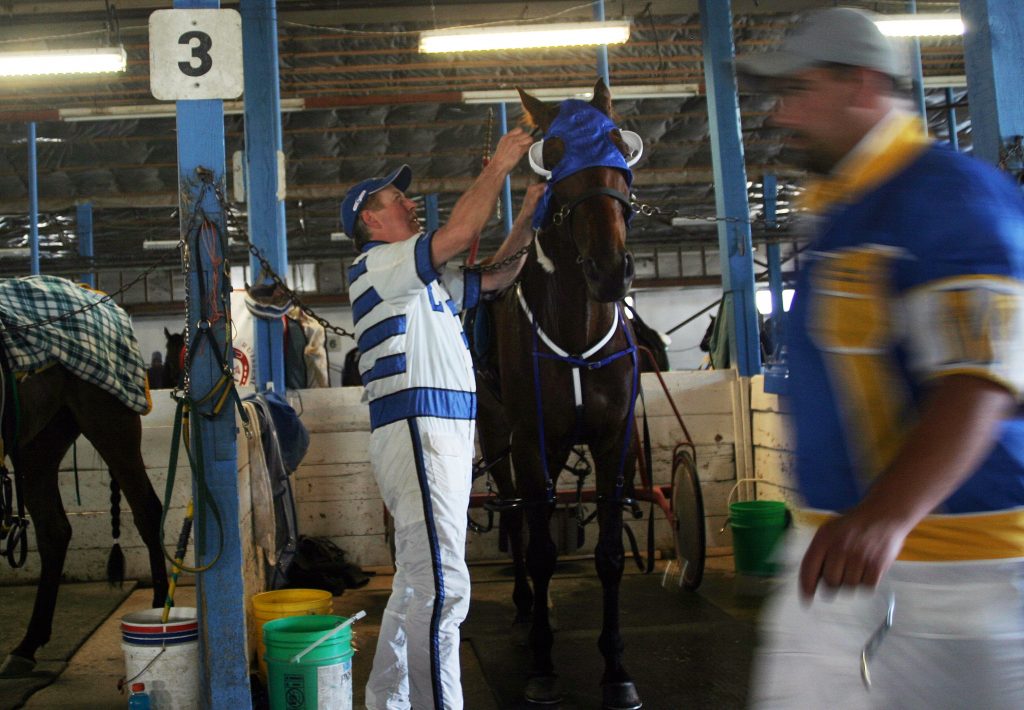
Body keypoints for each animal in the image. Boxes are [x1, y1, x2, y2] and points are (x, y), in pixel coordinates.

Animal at [481, 80, 647, 704]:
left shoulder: (614, 444)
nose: (609, 269)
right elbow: (542, 548)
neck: (577, 328)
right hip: (499, 436)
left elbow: (610, 555)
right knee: (516, 518)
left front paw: (616, 669)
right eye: (552, 153)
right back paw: (526, 608)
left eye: (620, 146)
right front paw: (543, 666)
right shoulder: (532, 442)